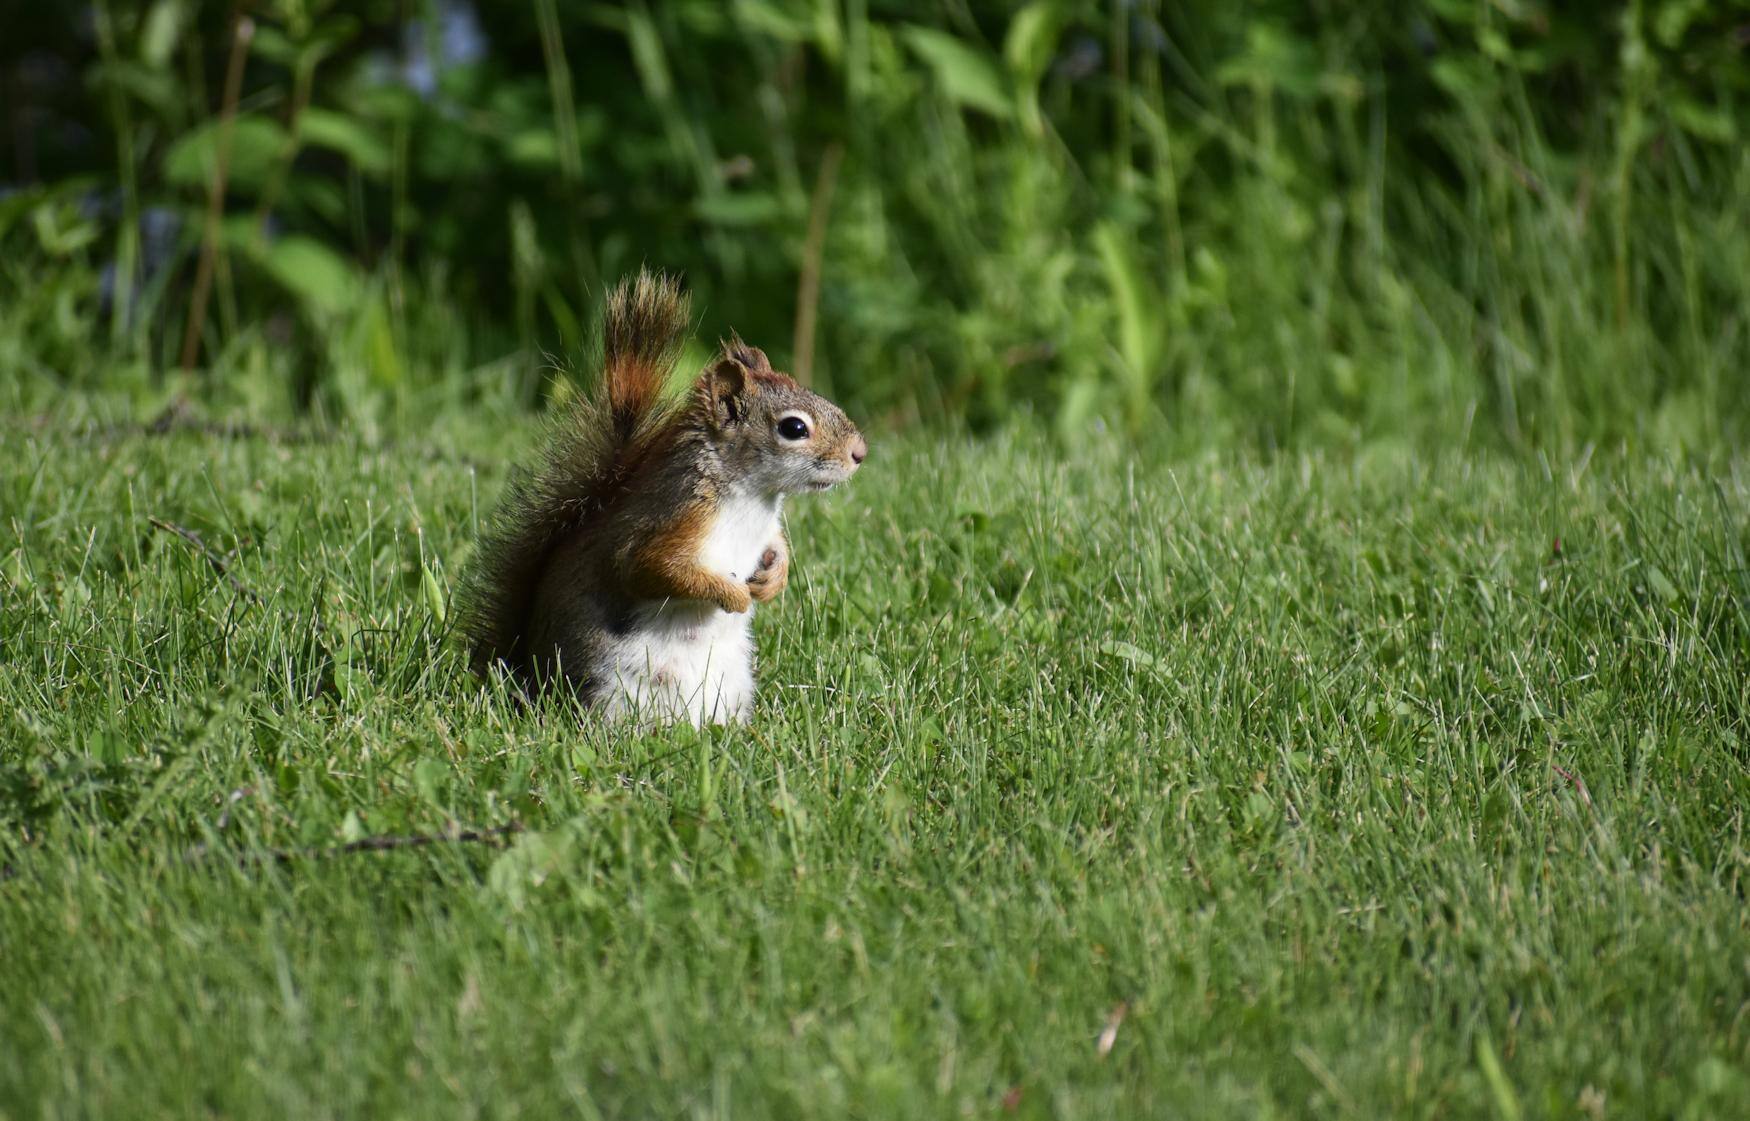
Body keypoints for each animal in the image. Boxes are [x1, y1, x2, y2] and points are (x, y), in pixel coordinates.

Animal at [458, 270, 867, 725]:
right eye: (794, 428)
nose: (860, 453)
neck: (753, 500)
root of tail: (524, 674)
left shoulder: (764, 530)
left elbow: (776, 546)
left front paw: (773, 579)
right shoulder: (672, 520)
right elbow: (652, 568)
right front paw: (735, 596)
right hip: (610, 690)